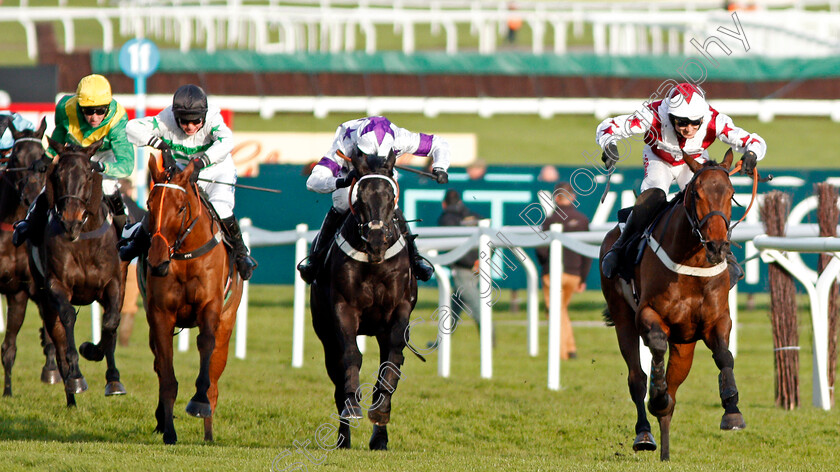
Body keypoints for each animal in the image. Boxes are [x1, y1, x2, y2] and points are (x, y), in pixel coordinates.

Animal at [28, 136, 127, 406]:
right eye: (57, 175)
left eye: (88, 174)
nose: (70, 221)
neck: (83, 239)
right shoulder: (56, 286)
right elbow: (68, 317)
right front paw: (76, 375)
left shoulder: (113, 283)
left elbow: (111, 322)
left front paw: (99, 359)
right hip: (44, 301)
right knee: (58, 340)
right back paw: (70, 393)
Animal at [143, 153, 243, 444]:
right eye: (149, 204)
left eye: (180, 208)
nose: (156, 262)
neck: (185, 255)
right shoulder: (160, 315)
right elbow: (166, 374)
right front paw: (168, 430)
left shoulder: (210, 307)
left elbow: (206, 344)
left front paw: (199, 402)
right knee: (158, 363)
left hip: (228, 322)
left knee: (215, 377)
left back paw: (208, 431)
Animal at [310, 149, 418, 452]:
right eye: (359, 198)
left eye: (391, 196)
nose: (376, 240)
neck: (374, 263)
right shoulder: (343, 309)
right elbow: (350, 356)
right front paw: (353, 408)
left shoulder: (399, 310)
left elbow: (392, 361)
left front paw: (380, 414)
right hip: (324, 332)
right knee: (336, 376)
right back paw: (343, 437)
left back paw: (379, 437)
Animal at [600, 150, 744, 460]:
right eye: (697, 194)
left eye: (731, 193)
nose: (717, 247)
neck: (692, 263)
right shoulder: (646, 314)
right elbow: (655, 346)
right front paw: (657, 393)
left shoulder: (716, 321)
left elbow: (724, 356)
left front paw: (732, 411)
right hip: (622, 318)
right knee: (636, 378)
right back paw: (645, 433)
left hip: (684, 344)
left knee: (674, 393)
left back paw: (665, 446)